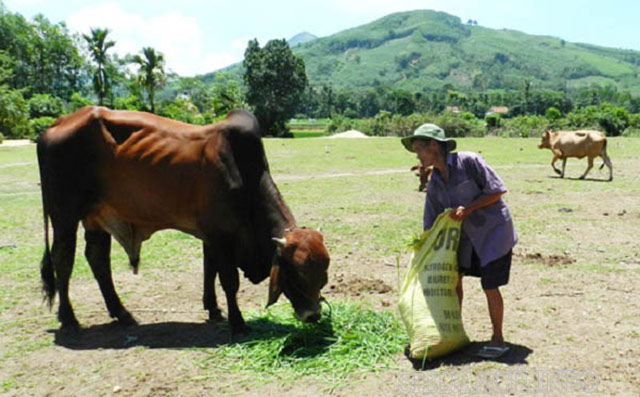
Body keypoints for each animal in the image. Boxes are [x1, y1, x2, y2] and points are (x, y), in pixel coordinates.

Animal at [37, 106, 330, 334]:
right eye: (296, 274)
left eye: (323, 277)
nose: (313, 315)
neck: (244, 175)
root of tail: (54, 126)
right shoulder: (222, 235)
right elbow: (228, 280)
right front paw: (237, 323)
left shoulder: (211, 235)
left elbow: (209, 270)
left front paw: (213, 309)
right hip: (64, 217)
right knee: (63, 260)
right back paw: (69, 319)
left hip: (97, 217)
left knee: (97, 259)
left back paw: (122, 313)